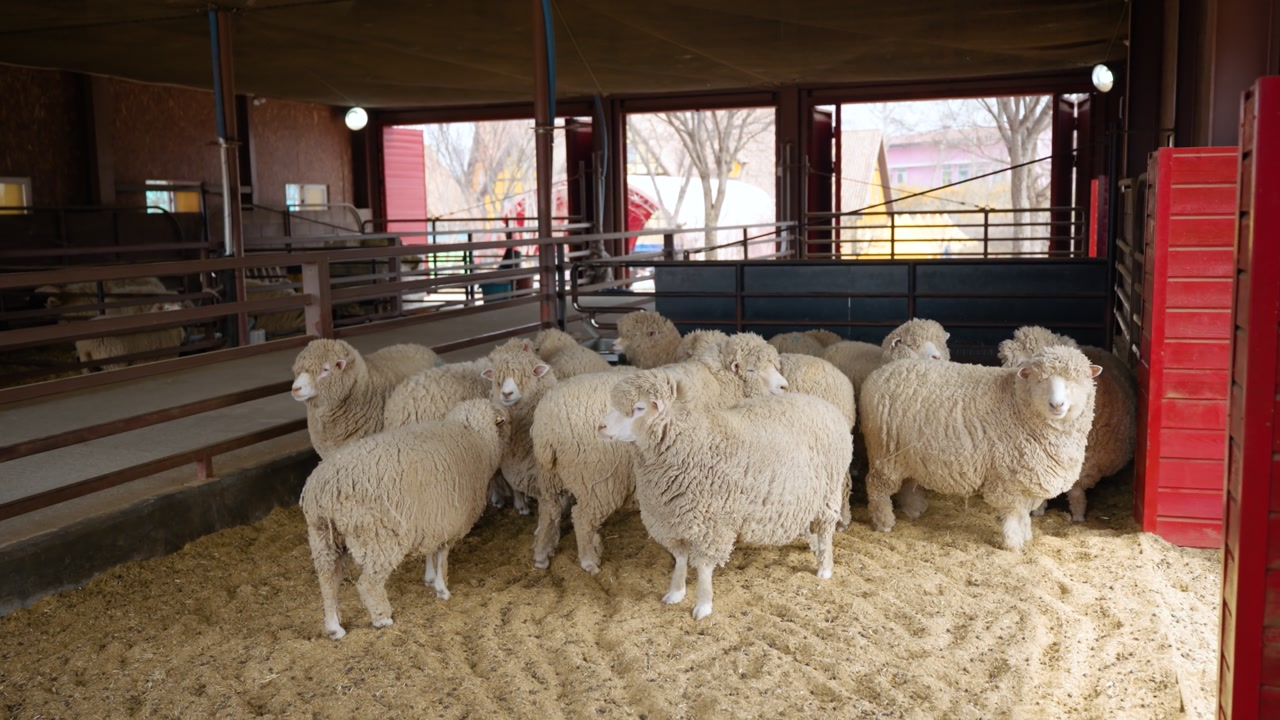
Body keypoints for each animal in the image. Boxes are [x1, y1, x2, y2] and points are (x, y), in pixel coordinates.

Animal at [301, 399, 510, 640]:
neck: (475, 438)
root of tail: (324, 489)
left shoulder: (432, 519)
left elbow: (430, 552)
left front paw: (429, 578)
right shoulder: (449, 523)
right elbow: (443, 556)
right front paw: (442, 589)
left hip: (323, 537)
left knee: (327, 580)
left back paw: (334, 627)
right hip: (377, 537)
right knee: (368, 583)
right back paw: (382, 618)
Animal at [530, 332, 789, 575]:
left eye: (774, 365)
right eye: (752, 369)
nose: (784, 387)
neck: (719, 382)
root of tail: (545, 425)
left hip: (549, 476)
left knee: (549, 510)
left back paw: (542, 555)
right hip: (596, 479)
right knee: (582, 517)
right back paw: (588, 561)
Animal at [600, 368, 850, 621]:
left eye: (639, 408)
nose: (601, 427)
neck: (694, 443)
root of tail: (825, 405)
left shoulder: (711, 524)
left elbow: (703, 569)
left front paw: (703, 605)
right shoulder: (673, 520)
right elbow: (680, 560)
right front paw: (676, 592)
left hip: (829, 493)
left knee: (825, 531)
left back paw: (825, 567)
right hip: (805, 497)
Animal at [860, 347, 1101, 551]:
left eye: (1075, 380)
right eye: (1040, 380)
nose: (1057, 405)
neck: (1017, 402)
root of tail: (878, 374)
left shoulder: (1027, 478)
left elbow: (1024, 514)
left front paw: (1026, 536)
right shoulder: (1008, 477)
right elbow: (1013, 514)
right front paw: (1013, 543)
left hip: (907, 453)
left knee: (907, 483)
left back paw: (914, 510)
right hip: (884, 452)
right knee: (877, 487)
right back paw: (884, 522)